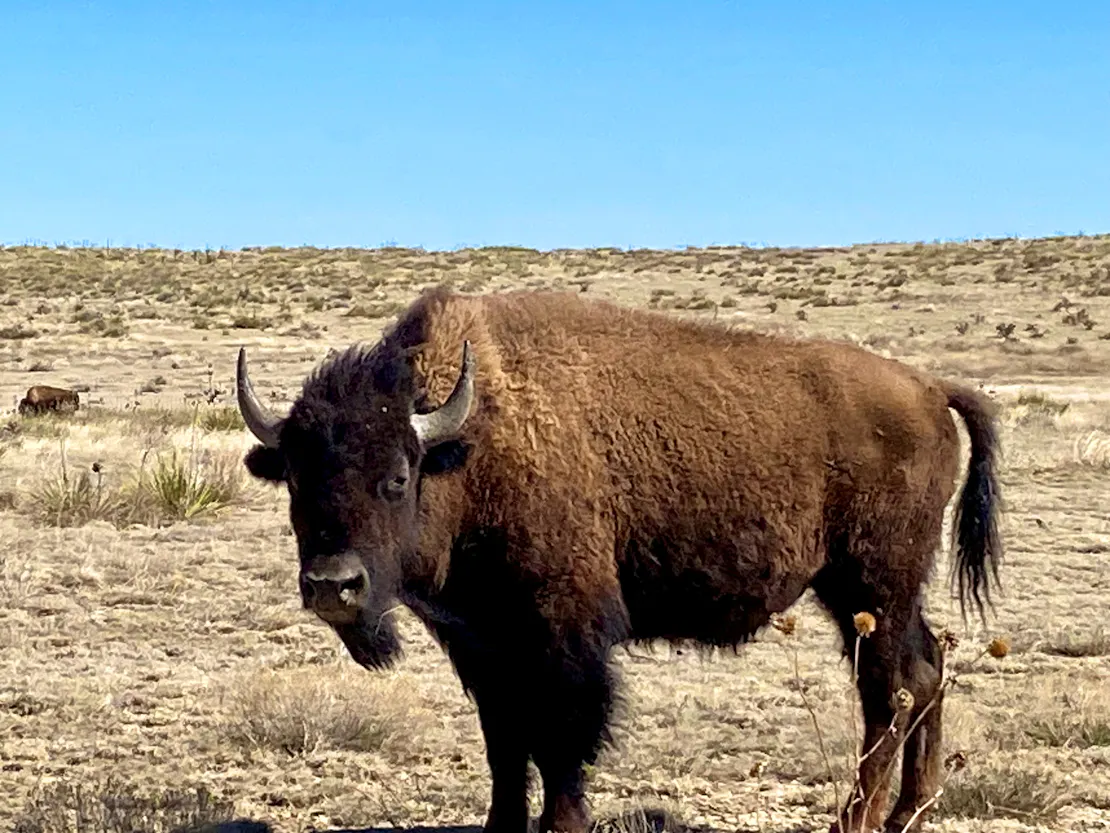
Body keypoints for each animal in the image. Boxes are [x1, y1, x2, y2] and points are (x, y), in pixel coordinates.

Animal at [236, 287, 1002, 833]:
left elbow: (562, 741)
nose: (333, 585)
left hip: (871, 586)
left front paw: (564, 826)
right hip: (878, 595)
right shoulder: (482, 645)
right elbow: (504, 744)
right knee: (926, 671)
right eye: (296, 480)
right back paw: (909, 814)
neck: (470, 446)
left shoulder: (563, 636)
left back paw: (857, 819)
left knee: (889, 690)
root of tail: (931, 388)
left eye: (397, 476)